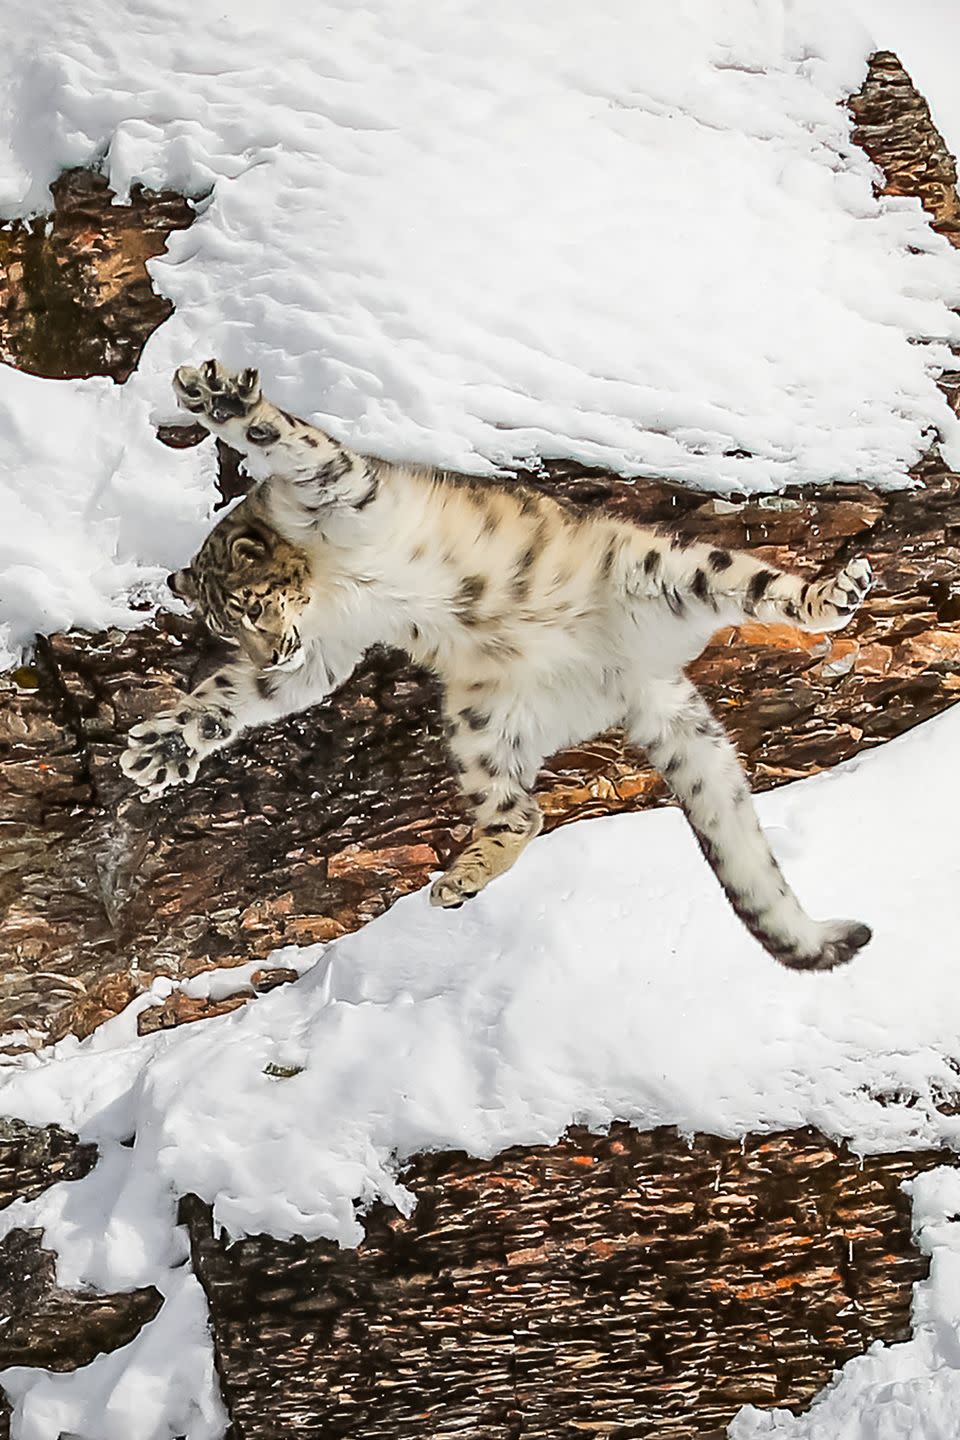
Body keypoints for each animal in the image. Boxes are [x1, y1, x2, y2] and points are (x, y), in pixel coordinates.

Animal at [122, 360, 880, 973]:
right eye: (228, 625)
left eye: (252, 606)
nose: (275, 649)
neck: (330, 587)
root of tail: (629, 673)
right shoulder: (328, 652)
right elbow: (235, 695)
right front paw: (162, 749)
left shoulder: (338, 488)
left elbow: (281, 439)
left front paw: (218, 399)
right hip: (479, 727)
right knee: (522, 813)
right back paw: (460, 878)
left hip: (670, 568)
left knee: (765, 589)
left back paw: (832, 593)